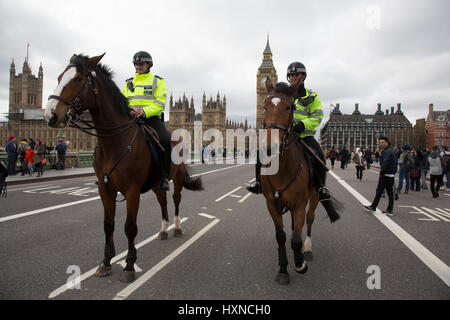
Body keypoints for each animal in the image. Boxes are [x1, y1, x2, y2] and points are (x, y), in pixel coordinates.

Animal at [44, 53, 203, 284]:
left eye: (78, 79)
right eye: (58, 77)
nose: (50, 115)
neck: (115, 142)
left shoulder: (132, 190)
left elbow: (130, 227)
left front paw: (129, 265)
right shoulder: (105, 188)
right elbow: (108, 224)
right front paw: (106, 263)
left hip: (178, 178)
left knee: (175, 201)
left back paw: (177, 227)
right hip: (156, 183)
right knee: (162, 200)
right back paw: (164, 230)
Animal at [260, 77, 342, 284]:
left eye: (289, 107)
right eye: (265, 106)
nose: (270, 147)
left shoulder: (299, 204)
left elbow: (296, 239)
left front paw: (300, 265)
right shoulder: (272, 203)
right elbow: (281, 236)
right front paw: (283, 269)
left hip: (314, 196)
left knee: (310, 219)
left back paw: (308, 249)